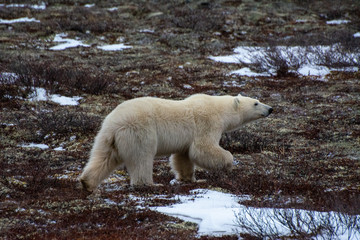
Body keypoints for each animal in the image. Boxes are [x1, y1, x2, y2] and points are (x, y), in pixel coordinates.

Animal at [78, 93, 270, 191]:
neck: (219, 109)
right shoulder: (207, 123)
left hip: (107, 137)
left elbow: (183, 156)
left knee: (103, 158)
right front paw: (229, 163)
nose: (270, 109)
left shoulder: (186, 140)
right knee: (142, 158)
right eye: (256, 103)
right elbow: (203, 148)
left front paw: (190, 179)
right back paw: (150, 183)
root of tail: (114, 122)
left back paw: (87, 182)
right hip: (140, 131)